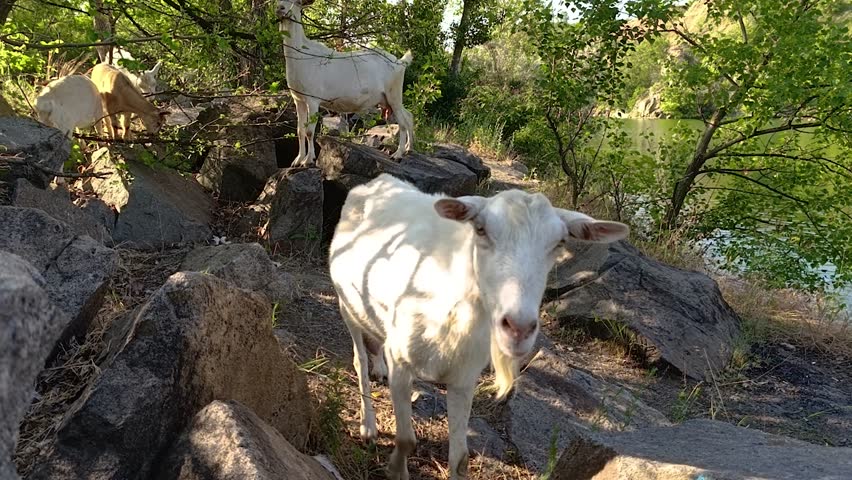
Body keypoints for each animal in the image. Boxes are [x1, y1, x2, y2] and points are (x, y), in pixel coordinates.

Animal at [275, 0, 414, 167]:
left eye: (297, 3)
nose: (280, 8)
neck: (301, 57)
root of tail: (401, 62)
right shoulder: (298, 99)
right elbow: (299, 130)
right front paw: (297, 160)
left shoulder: (312, 99)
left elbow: (309, 131)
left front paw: (308, 160)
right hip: (388, 98)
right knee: (409, 115)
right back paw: (409, 148)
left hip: (394, 93)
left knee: (403, 122)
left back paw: (398, 154)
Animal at [328, 174, 629, 479]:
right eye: (481, 229)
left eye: (560, 242)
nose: (519, 328)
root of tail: (381, 178)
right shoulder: (401, 362)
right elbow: (406, 439)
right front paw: (395, 469)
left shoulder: (464, 377)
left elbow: (460, 458)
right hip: (345, 303)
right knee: (359, 359)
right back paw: (368, 425)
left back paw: (378, 366)